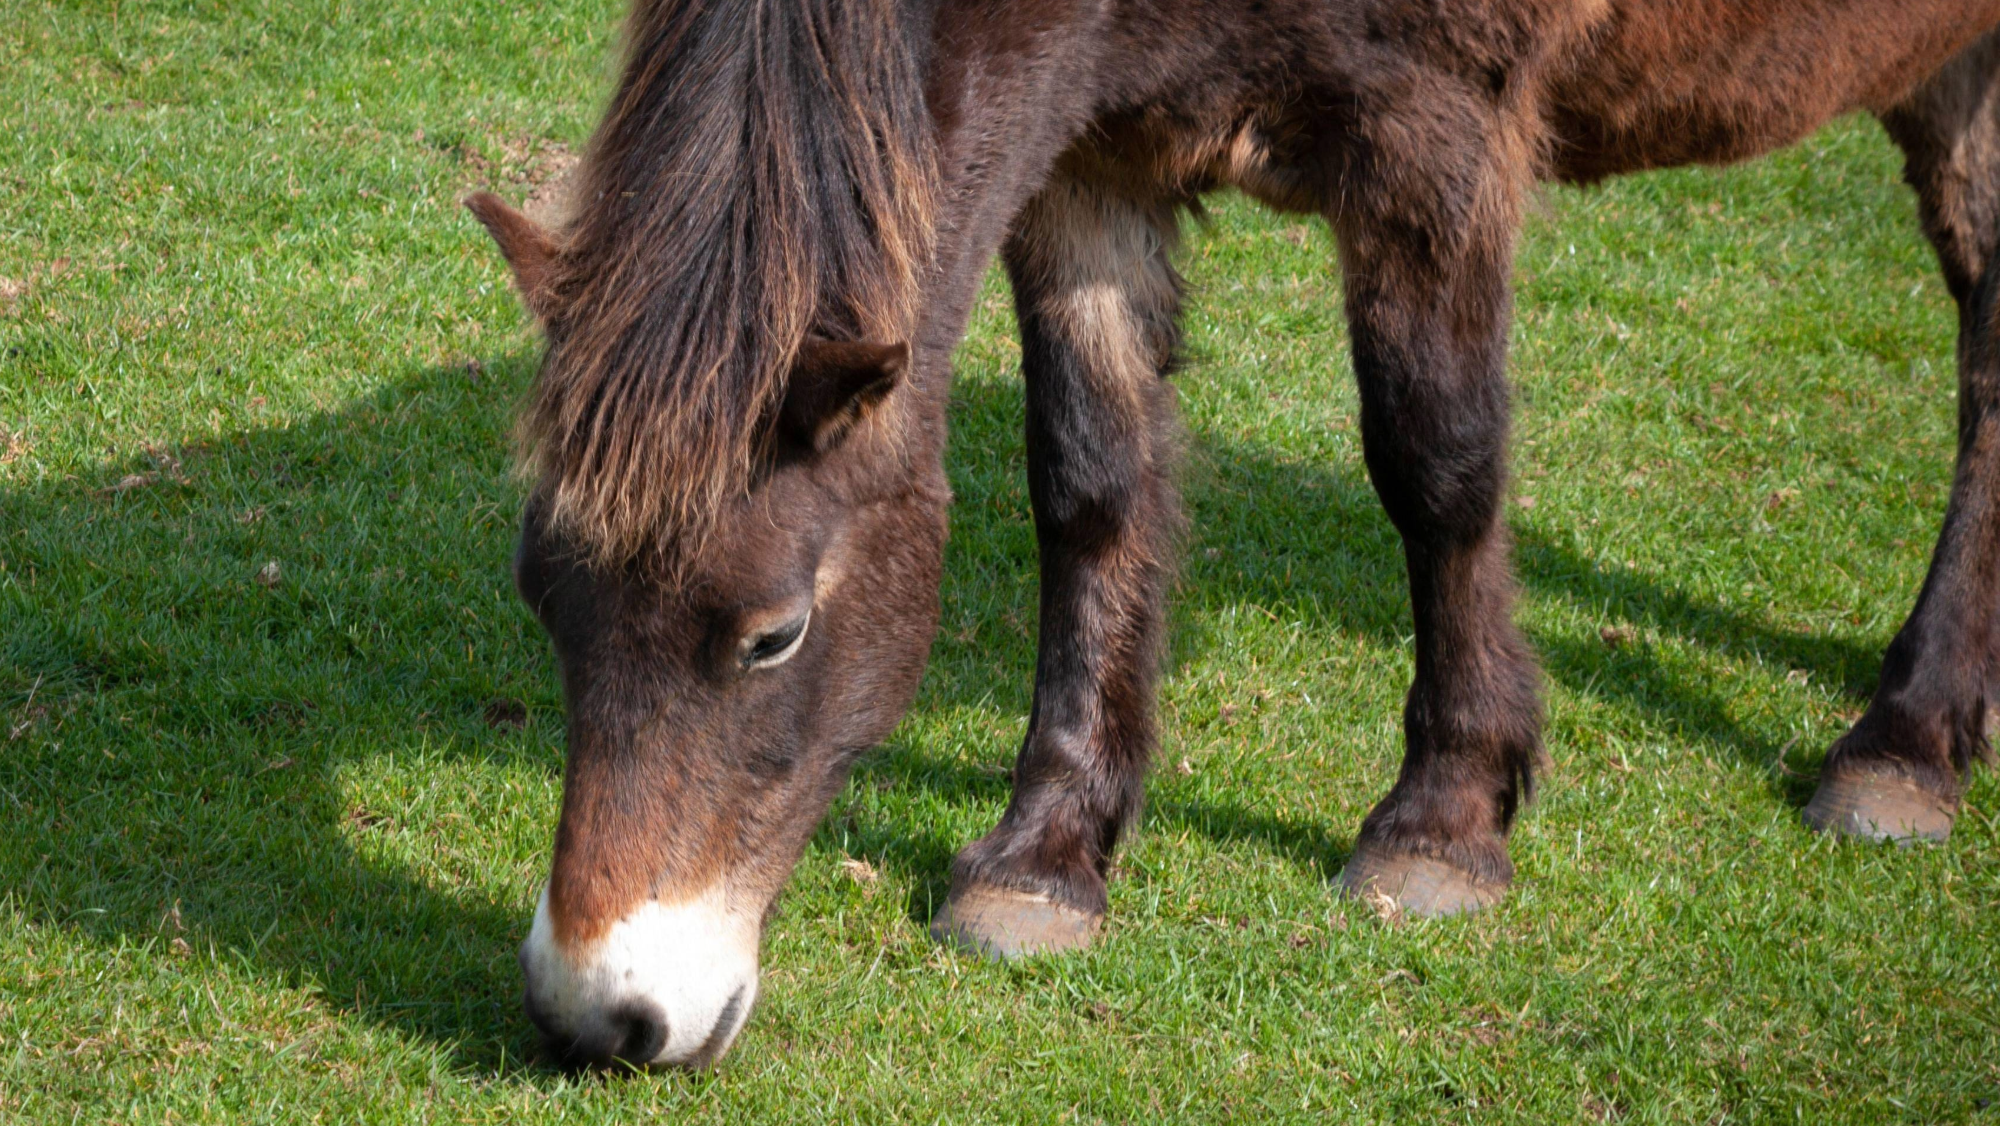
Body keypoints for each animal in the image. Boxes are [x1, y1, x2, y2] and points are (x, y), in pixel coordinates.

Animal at [465, 0, 2000, 1069]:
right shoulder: (1090, 158)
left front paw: (1444, 820)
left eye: (772, 635)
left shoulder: (1433, 135)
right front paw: (1047, 852)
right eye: (539, 599)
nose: (600, 1015)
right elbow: (1091, 482)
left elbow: (1436, 464)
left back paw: (1904, 739)